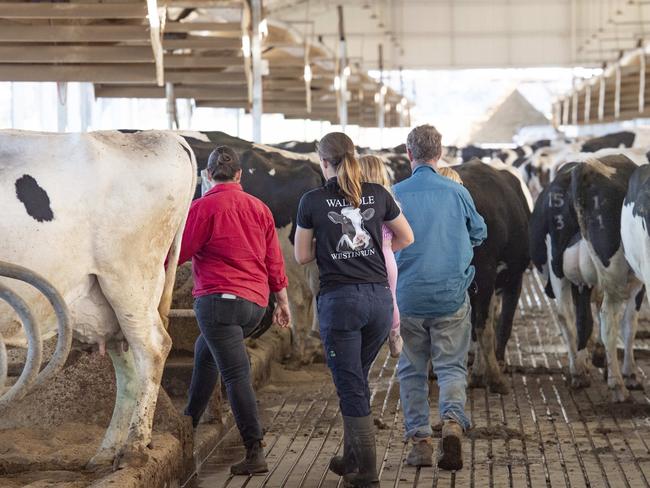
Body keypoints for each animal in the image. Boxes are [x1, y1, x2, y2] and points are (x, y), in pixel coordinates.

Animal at [0, 131, 197, 468]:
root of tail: (163, 135)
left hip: (129, 282)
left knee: (153, 349)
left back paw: (135, 445)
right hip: (105, 302)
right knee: (128, 368)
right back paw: (107, 451)